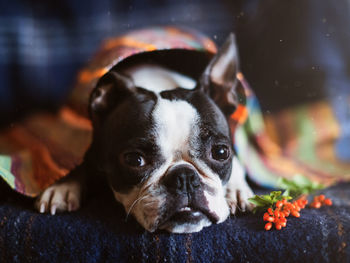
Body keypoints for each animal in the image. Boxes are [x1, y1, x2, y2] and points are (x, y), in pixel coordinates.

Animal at [34, 32, 254, 233]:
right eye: (134, 160)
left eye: (221, 152)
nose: (184, 177)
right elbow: (75, 159)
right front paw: (62, 186)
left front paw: (236, 190)